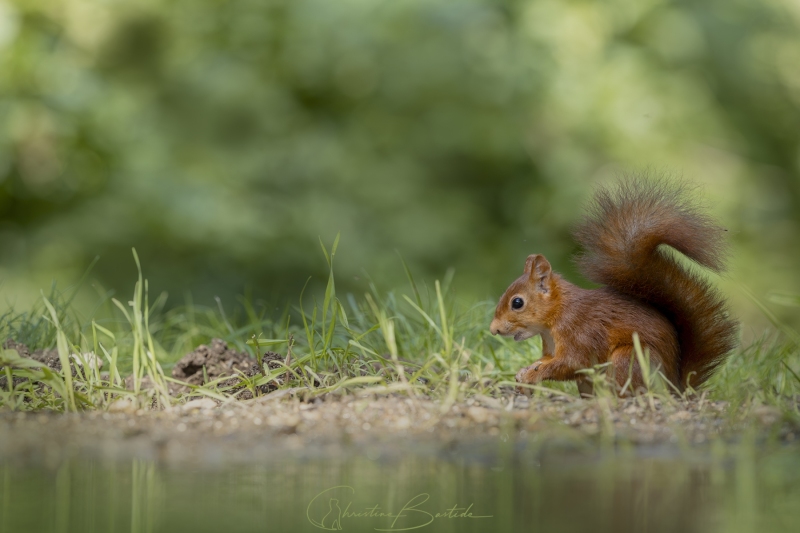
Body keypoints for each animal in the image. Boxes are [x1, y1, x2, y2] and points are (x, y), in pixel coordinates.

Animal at [490, 180, 740, 394]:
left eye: (517, 303)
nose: (493, 330)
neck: (556, 316)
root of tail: (675, 388)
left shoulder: (581, 333)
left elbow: (573, 363)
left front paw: (533, 375)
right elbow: (549, 361)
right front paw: (524, 372)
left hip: (630, 358)